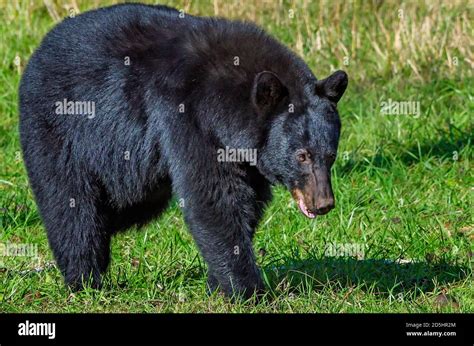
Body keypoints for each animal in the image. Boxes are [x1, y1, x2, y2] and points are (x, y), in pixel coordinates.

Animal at [18, 2, 346, 298]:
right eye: (301, 155)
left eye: (330, 155)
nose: (323, 204)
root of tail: (38, 51)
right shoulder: (190, 119)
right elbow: (214, 198)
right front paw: (248, 290)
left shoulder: (244, 155)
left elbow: (248, 201)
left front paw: (218, 283)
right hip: (60, 129)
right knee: (72, 206)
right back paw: (84, 280)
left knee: (126, 203)